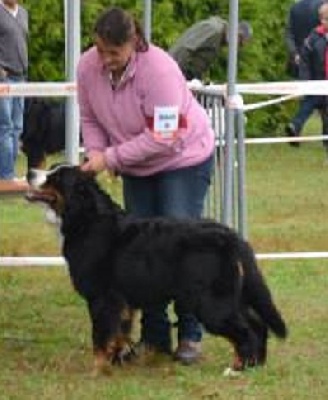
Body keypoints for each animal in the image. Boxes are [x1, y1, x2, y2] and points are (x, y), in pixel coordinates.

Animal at [25, 164, 288, 376]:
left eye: (56, 177)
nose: (29, 172)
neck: (86, 218)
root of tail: (231, 236)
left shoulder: (101, 298)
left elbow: (100, 337)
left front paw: (97, 370)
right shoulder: (122, 301)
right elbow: (118, 334)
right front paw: (117, 362)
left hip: (212, 304)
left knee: (245, 332)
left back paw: (237, 369)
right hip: (233, 297)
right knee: (258, 325)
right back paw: (256, 366)